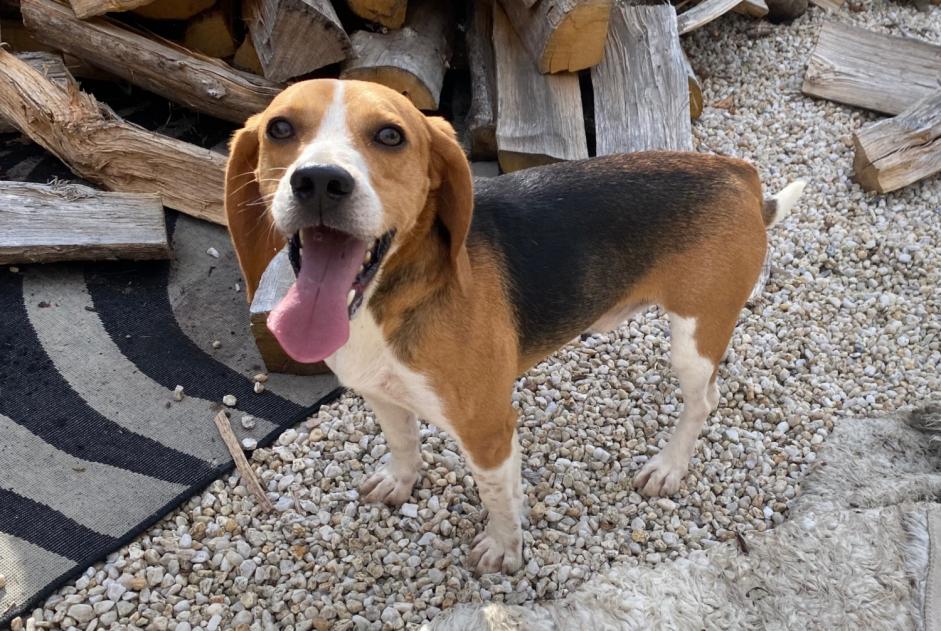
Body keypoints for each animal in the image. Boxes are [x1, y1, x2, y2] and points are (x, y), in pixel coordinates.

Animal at [224, 78, 804, 572]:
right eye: (280, 128)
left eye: (390, 135)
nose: (320, 180)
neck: (389, 299)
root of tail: (739, 174)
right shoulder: (380, 393)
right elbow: (403, 443)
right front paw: (401, 481)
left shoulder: (488, 429)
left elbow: (497, 496)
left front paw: (504, 548)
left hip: (694, 334)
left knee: (700, 403)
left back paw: (669, 466)